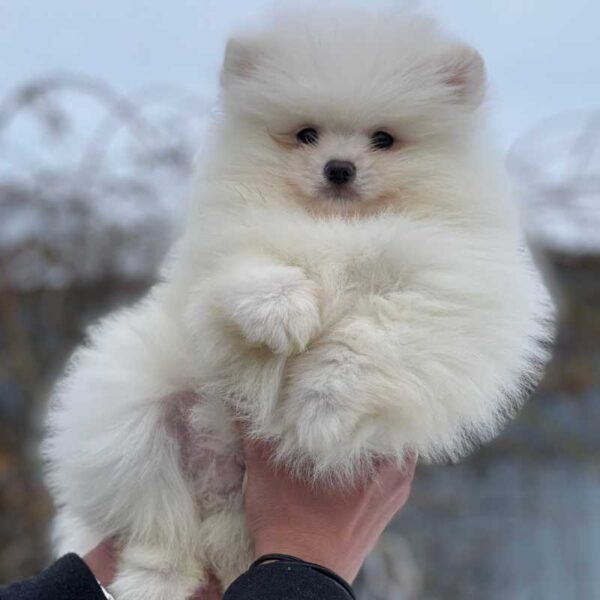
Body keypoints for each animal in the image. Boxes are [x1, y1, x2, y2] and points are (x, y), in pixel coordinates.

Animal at [44, 5, 552, 600]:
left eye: (383, 139)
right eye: (306, 134)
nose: (338, 167)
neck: (338, 227)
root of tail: (218, 503)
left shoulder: (446, 289)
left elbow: (372, 338)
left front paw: (319, 404)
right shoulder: (223, 248)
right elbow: (249, 269)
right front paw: (282, 315)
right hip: (131, 418)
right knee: (159, 523)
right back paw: (154, 579)